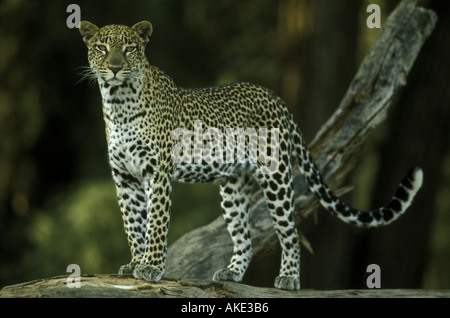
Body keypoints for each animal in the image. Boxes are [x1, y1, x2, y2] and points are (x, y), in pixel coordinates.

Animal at [79, 20, 424, 290]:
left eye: (129, 49)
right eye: (101, 48)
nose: (114, 68)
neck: (118, 103)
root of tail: (275, 97)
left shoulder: (157, 173)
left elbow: (155, 223)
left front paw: (150, 265)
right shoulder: (125, 178)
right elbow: (133, 223)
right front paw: (135, 262)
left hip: (276, 178)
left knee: (290, 233)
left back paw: (289, 279)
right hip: (232, 187)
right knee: (244, 237)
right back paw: (231, 273)